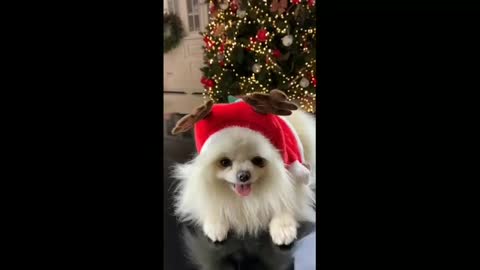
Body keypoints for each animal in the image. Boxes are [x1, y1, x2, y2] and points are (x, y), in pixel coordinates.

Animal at [172, 90, 316, 245]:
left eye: (258, 160)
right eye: (224, 162)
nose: (243, 175)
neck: (246, 199)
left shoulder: (289, 185)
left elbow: (284, 204)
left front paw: (283, 228)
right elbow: (212, 204)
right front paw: (216, 224)